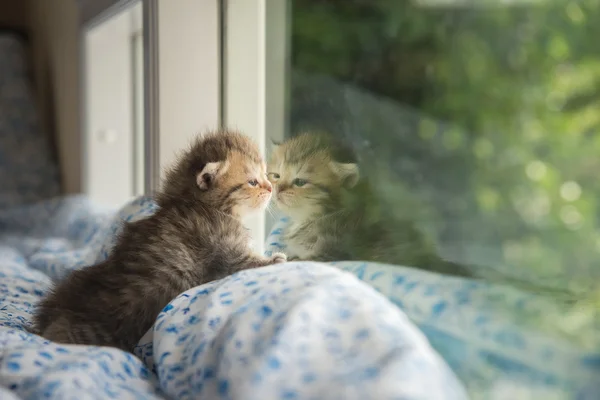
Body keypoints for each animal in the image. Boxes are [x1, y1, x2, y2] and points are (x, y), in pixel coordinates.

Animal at [34, 130, 288, 352]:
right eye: (253, 182)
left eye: (265, 175)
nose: (270, 186)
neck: (198, 204)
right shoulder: (225, 250)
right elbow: (246, 263)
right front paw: (275, 260)